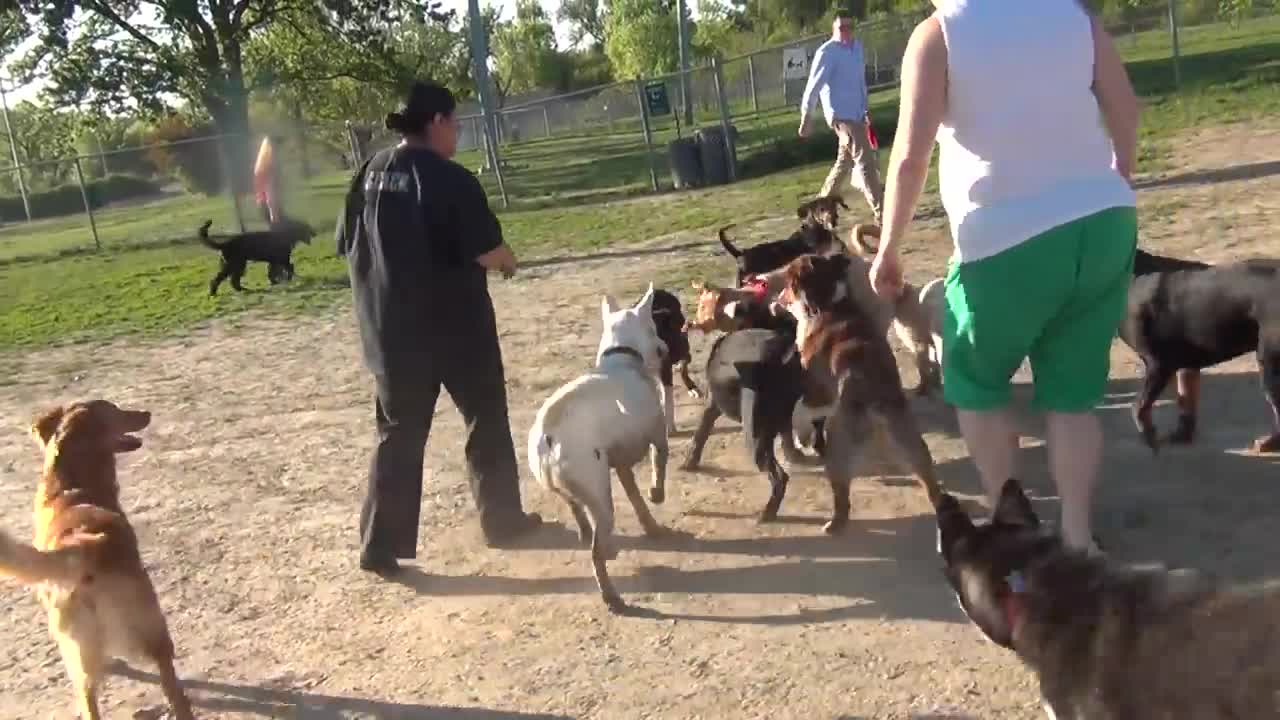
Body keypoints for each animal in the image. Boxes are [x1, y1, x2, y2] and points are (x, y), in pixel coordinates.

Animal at [12, 397, 195, 717]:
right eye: (117, 411)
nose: (146, 413)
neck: (70, 485)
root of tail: (85, 546)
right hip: (145, 624)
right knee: (167, 680)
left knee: (89, 694)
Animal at [527, 280, 675, 609]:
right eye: (652, 327)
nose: (666, 349)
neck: (621, 358)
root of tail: (548, 434)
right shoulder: (657, 435)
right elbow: (660, 463)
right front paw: (658, 494)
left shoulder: (619, 464)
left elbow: (636, 498)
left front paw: (651, 526)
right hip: (600, 495)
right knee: (596, 551)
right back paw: (612, 595)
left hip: (575, 489)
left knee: (578, 512)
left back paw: (591, 536)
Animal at [773, 254, 947, 530]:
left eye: (789, 277)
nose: (778, 293)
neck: (826, 304)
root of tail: (873, 401)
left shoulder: (819, 390)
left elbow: (799, 410)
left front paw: (803, 437)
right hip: (911, 443)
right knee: (929, 481)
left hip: (838, 449)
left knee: (842, 495)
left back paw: (834, 525)